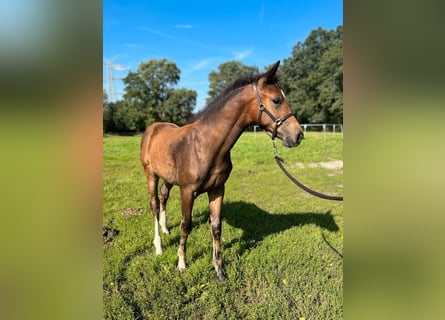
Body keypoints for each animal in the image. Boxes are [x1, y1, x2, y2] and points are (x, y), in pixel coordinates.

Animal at [140, 60, 304, 280]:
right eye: (277, 100)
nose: (298, 135)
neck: (206, 145)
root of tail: (153, 128)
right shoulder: (187, 191)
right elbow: (186, 226)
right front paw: (181, 264)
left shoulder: (217, 189)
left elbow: (216, 227)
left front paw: (219, 270)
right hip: (151, 175)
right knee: (155, 205)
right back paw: (158, 246)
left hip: (168, 178)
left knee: (164, 196)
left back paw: (166, 230)